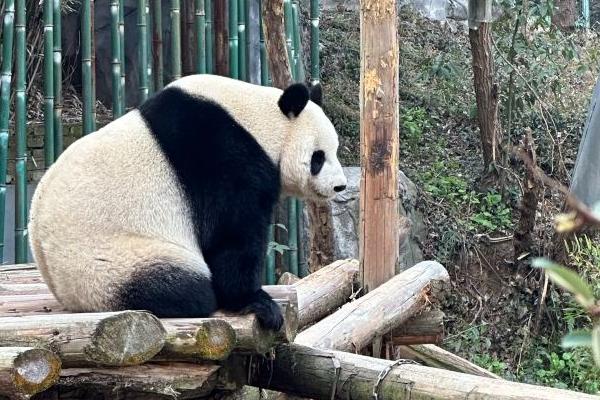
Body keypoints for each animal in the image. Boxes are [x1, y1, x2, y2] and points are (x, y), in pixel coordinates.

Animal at [28, 73, 346, 330]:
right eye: (318, 157)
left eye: (335, 150)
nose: (339, 186)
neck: (260, 123)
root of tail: (67, 295)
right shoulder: (224, 158)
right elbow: (232, 236)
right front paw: (258, 304)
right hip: (111, 261)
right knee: (182, 287)